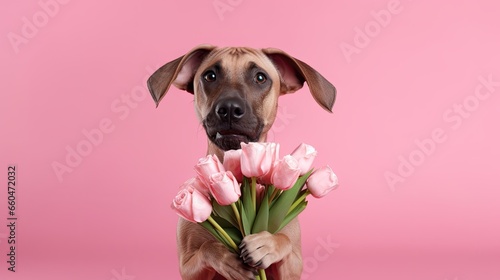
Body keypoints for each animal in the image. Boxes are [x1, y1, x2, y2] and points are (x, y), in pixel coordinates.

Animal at [147, 45, 336, 280]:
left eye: (260, 78)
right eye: (210, 76)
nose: (229, 108)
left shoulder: (293, 265)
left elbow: (284, 241)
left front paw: (267, 243)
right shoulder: (188, 267)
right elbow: (208, 247)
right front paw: (227, 259)